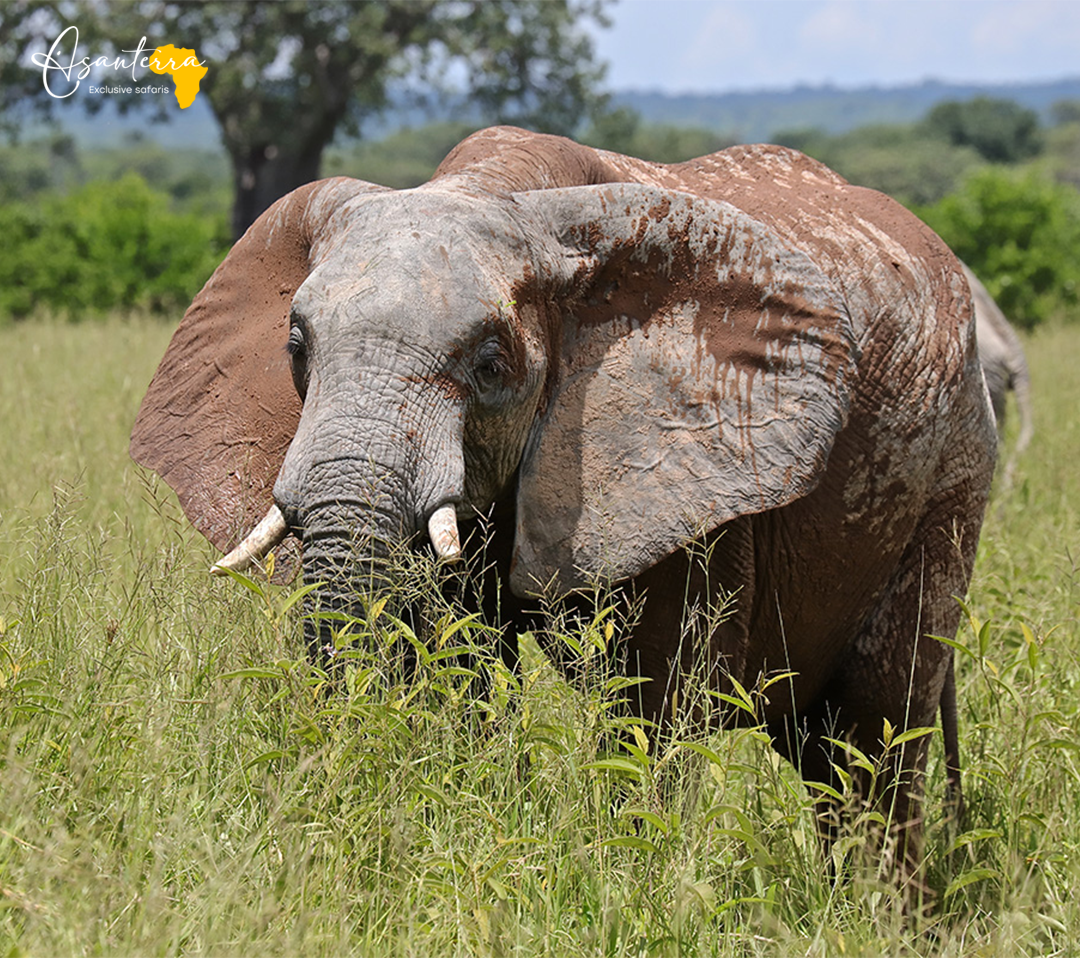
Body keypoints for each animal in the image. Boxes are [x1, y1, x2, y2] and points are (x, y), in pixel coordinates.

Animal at [132, 127, 993, 885]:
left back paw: (877, 913)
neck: (497, 190)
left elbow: (654, 704)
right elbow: (453, 667)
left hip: (948, 479)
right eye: (297, 351)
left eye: (490, 364)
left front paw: (634, 887)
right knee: (827, 753)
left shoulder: (690, 474)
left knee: (874, 741)